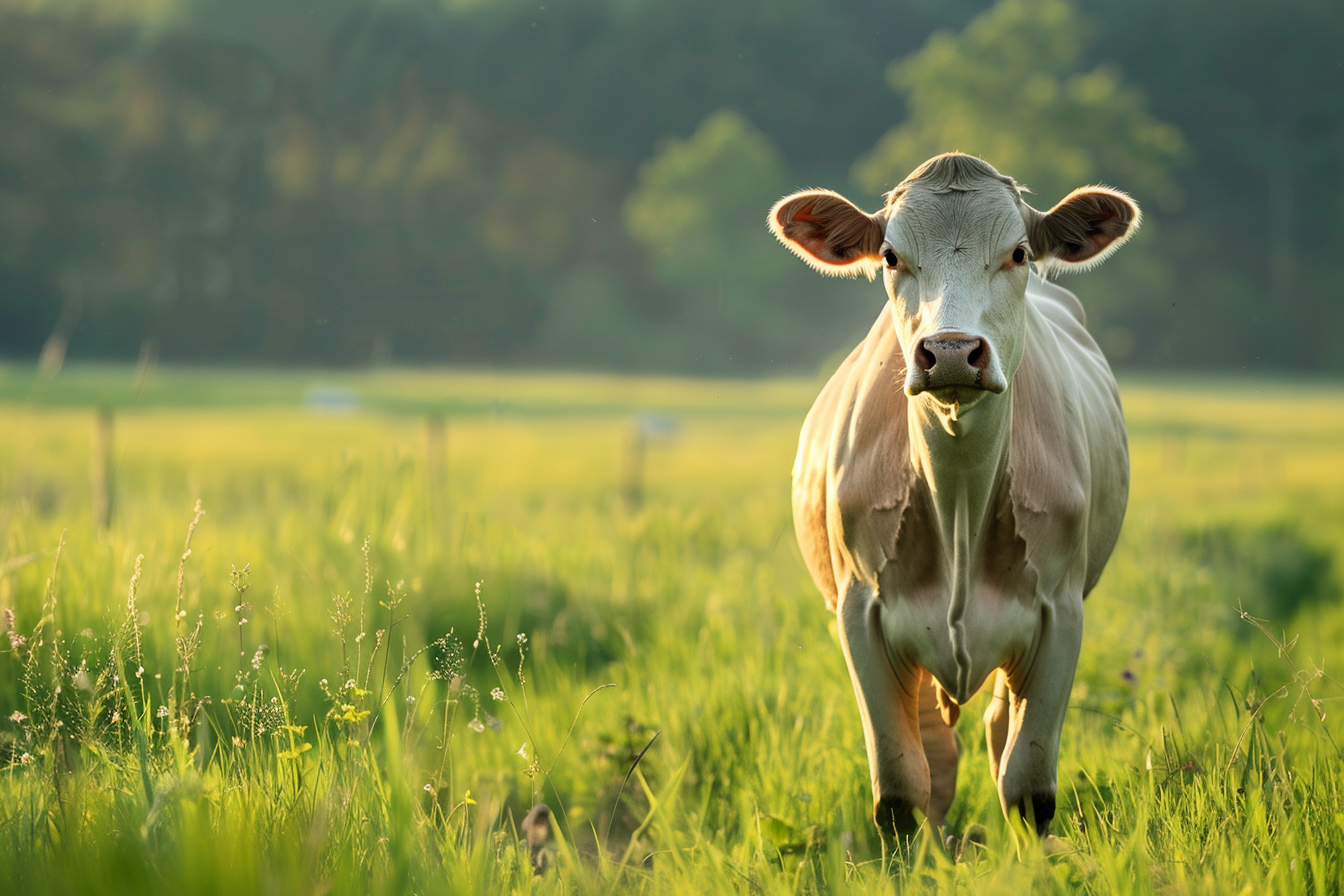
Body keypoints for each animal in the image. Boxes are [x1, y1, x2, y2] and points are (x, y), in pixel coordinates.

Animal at [769, 153, 1135, 838]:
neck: (959, 499)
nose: (950, 352)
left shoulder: (1061, 613)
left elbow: (1027, 786)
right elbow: (900, 791)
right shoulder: (861, 614)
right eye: (891, 256)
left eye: (1019, 253)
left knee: (994, 734)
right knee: (937, 756)